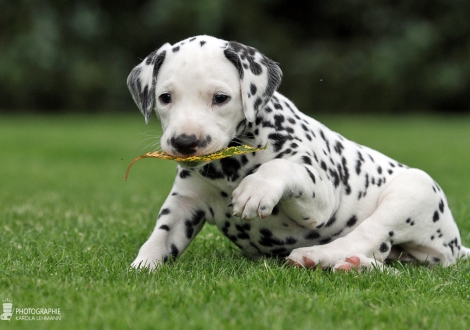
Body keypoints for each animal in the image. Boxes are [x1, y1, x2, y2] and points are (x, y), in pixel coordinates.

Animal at [126, 35, 468, 270]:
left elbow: (281, 168)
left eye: (220, 98)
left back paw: (315, 255)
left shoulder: (322, 197)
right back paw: (355, 267)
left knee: (368, 235)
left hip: (414, 190)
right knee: (381, 255)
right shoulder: (185, 203)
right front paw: (142, 267)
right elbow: (161, 237)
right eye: (165, 98)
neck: (229, 168)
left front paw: (256, 188)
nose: (185, 142)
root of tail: (455, 244)